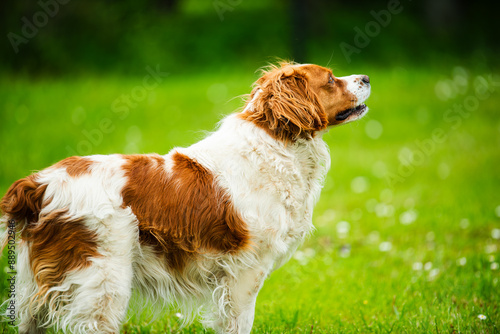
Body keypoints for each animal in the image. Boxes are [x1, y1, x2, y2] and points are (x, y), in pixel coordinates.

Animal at [0, 62, 372, 334]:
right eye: (330, 80)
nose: (367, 77)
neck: (274, 146)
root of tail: (38, 184)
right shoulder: (244, 272)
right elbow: (239, 323)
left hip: (38, 291)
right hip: (103, 283)